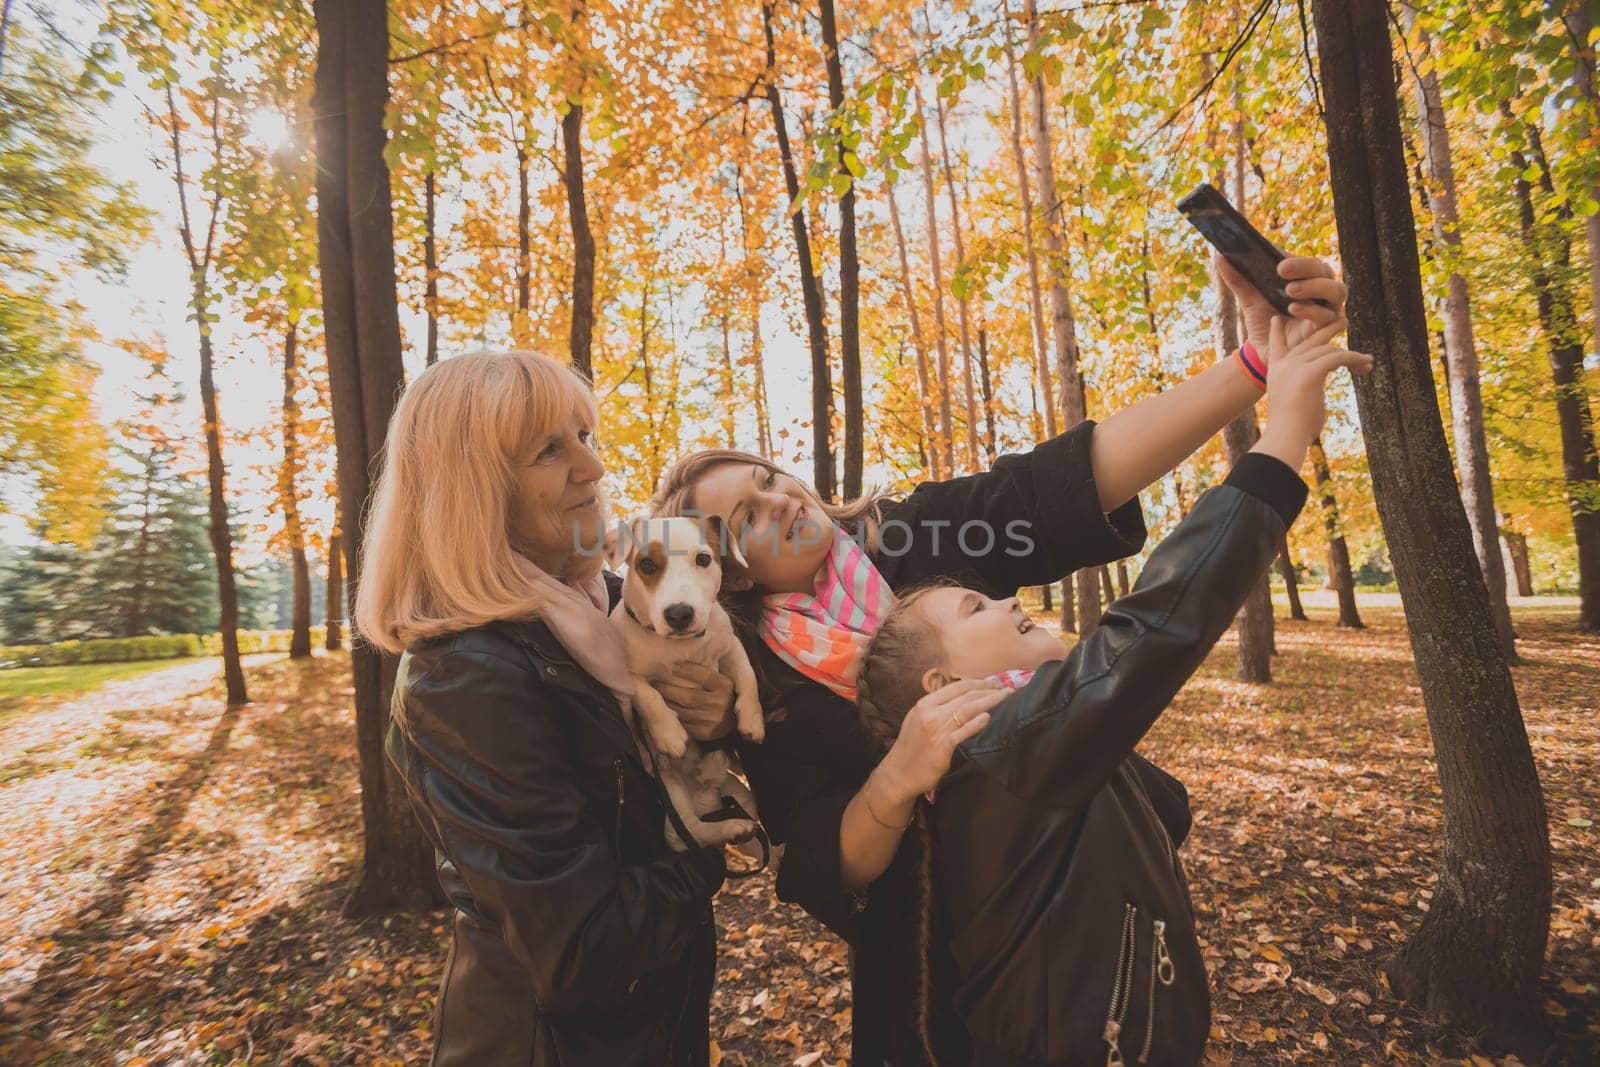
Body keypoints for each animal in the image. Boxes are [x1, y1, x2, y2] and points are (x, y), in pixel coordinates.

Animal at [608, 511, 764, 857]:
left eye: (703, 559)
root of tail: (703, 790)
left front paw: (752, 720)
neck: (680, 647)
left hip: (740, 792)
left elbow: (748, 679)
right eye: (647, 564)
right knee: (687, 834)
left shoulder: (730, 648)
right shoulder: (628, 675)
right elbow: (649, 697)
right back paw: (731, 827)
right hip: (671, 792)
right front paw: (669, 734)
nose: (679, 614)